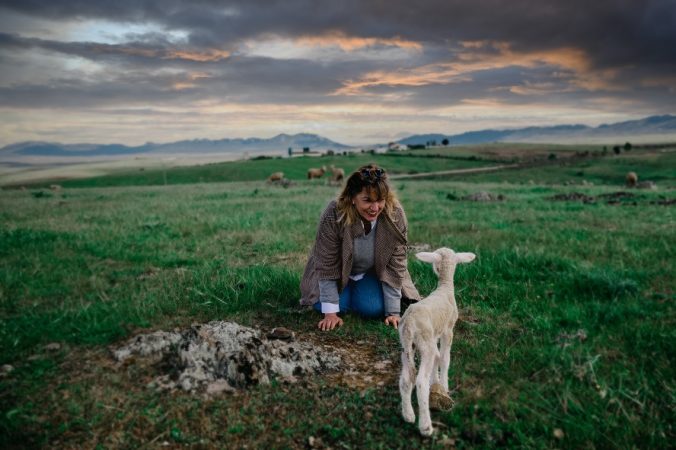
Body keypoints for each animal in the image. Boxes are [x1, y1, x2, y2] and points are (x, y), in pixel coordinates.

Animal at [398, 246, 478, 436]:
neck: (445, 287)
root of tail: (409, 323)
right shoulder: (448, 330)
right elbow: (445, 358)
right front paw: (444, 384)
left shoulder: (435, 334)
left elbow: (437, 359)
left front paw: (435, 381)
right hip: (424, 344)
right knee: (420, 381)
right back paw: (425, 426)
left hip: (406, 346)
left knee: (406, 379)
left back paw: (408, 415)